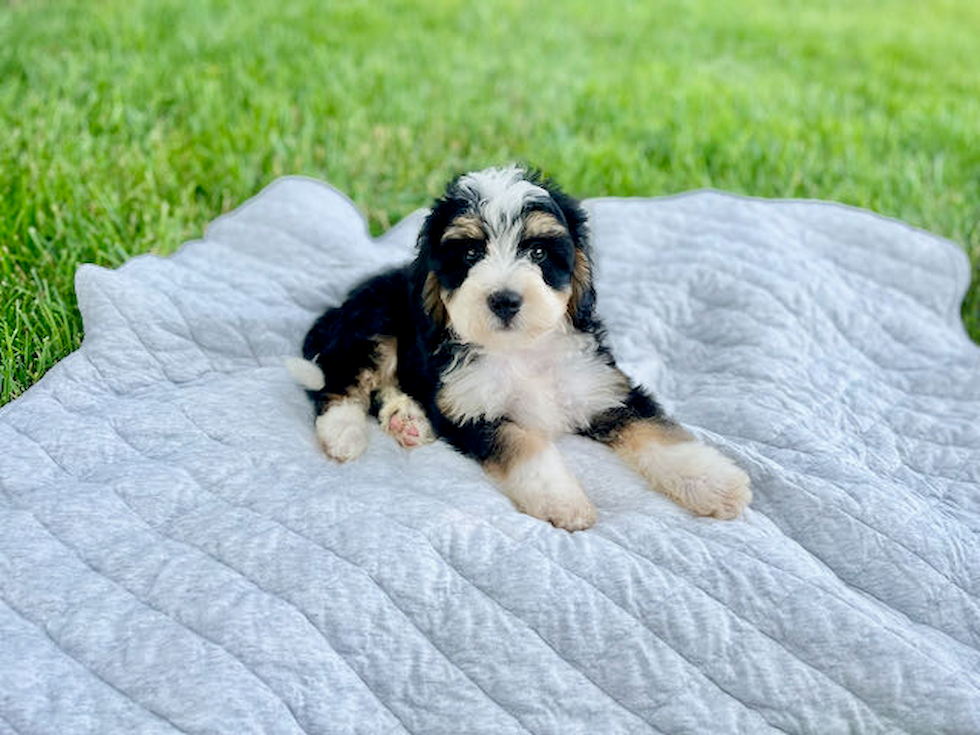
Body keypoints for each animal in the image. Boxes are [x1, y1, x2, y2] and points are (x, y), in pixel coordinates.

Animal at [290, 165, 752, 528]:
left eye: (538, 252)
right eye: (471, 253)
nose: (505, 300)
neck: (523, 350)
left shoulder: (605, 390)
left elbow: (658, 433)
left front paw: (715, 483)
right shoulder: (477, 411)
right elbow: (525, 447)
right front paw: (563, 500)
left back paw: (408, 419)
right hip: (376, 327)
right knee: (338, 381)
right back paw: (344, 433)